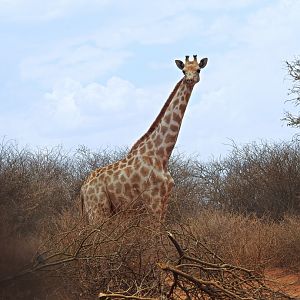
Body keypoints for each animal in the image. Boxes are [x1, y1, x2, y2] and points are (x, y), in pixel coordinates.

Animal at [80, 55, 209, 224]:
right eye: (183, 71)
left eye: (198, 69)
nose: (189, 79)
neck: (162, 155)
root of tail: (82, 189)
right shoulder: (153, 201)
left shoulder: (164, 202)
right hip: (98, 210)